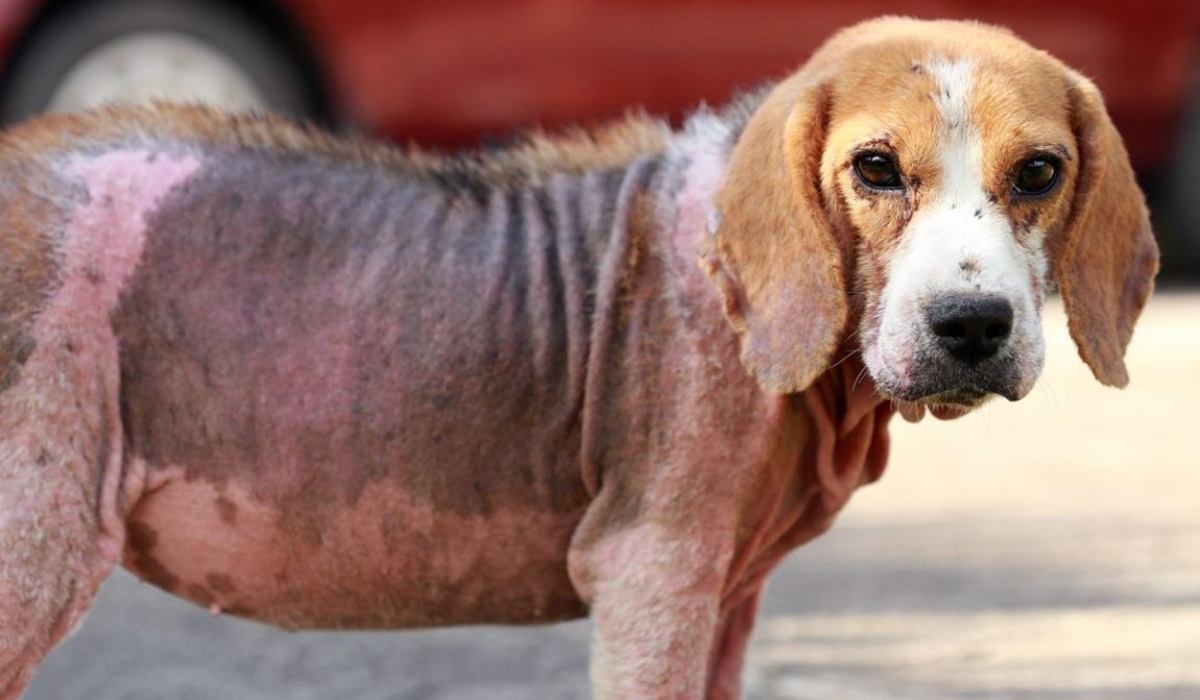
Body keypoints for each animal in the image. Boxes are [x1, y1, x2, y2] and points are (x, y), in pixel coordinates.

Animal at [0, 13, 1156, 696]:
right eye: (874, 168)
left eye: (1041, 172)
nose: (973, 324)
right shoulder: (652, 572)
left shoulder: (725, 597)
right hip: (34, 543)